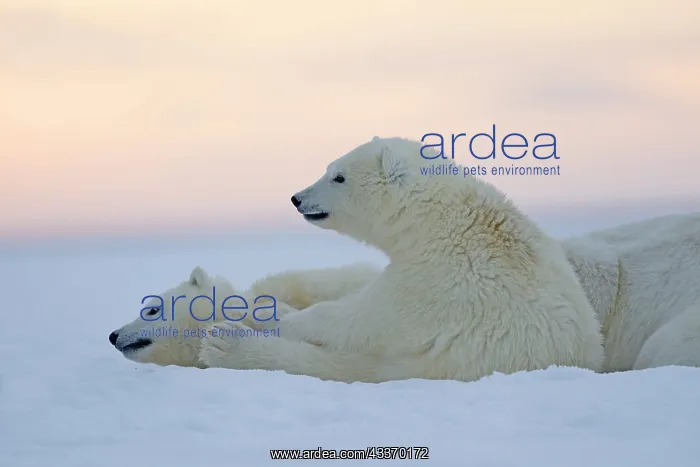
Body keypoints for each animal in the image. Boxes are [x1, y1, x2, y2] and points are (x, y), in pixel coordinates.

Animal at [198, 136, 605, 383]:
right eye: (329, 168)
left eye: (338, 177)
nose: (297, 198)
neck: (444, 223)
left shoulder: (437, 283)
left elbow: (357, 319)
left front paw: (271, 315)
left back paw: (225, 342)